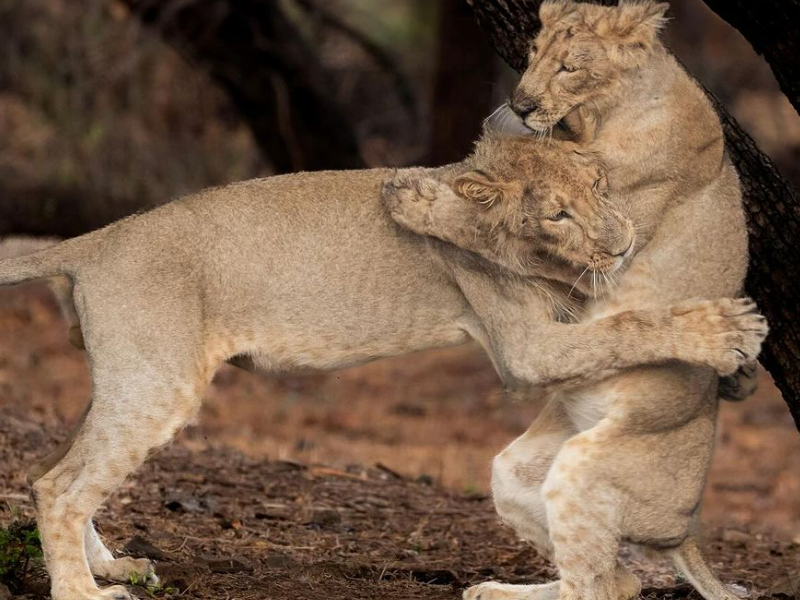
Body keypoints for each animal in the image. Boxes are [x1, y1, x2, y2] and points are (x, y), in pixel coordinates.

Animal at [0, 129, 765, 600]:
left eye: (601, 184)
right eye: (556, 215)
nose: (623, 241)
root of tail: (92, 242)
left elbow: (615, 313)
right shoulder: (525, 349)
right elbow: (632, 323)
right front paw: (729, 331)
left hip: (130, 379)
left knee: (49, 469)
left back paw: (114, 565)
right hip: (160, 384)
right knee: (60, 486)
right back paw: (85, 591)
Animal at [383, 2, 759, 600]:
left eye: (569, 67)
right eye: (533, 53)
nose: (520, 105)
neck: (606, 114)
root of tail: (686, 532)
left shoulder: (608, 253)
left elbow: (490, 225)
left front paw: (419, 199)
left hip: (581, 469)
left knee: (596, 586)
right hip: (513, 472)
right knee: (615, 580)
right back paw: (494, 590)